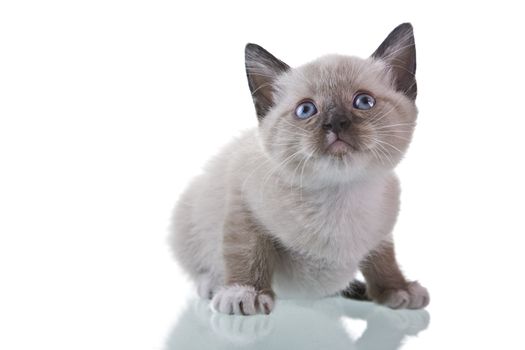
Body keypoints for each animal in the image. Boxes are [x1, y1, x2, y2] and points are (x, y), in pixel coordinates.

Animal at [170, 23, 428, 316]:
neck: (339, 195)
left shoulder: (382, 233)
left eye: (363, 102)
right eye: (306, 110)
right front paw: (245, 292)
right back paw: (212, 285)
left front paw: (397, 289)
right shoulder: (243, 202)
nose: (335, 123)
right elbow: (248, 251)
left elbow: (384, 260)